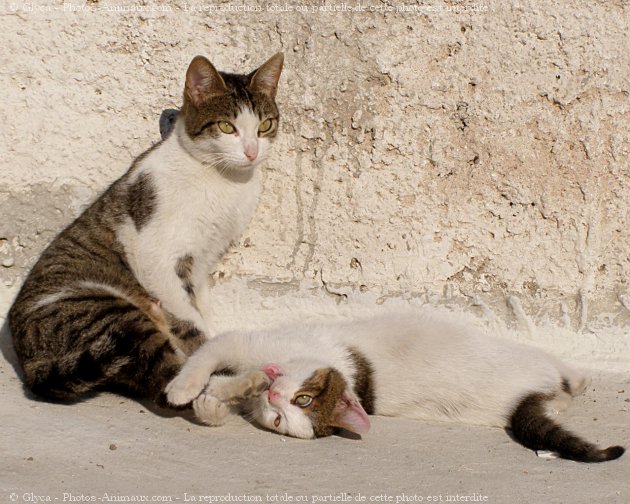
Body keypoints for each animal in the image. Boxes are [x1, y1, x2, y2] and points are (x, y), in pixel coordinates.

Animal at [8, 51, 286, 406]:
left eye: (265, 126)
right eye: (227, 127)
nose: (251, 152)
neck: (223, 180)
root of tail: (31, 368)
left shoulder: (202, 261)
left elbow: (201, 309)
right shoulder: (154, 255)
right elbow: (191, 324)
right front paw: (202, 359)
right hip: (110, 315)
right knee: (161, 381)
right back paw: (228, 385)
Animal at [167, 312, 628, 464]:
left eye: (301, 403)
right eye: (283, 414)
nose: (273, 397)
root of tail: (523, 399)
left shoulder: (251, 345)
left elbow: (214, 354)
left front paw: (188, 389)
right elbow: (213, 362)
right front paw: (202, 394)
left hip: (524, 359)